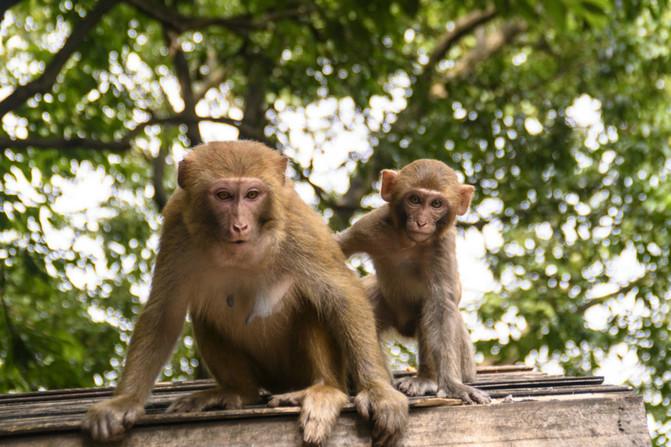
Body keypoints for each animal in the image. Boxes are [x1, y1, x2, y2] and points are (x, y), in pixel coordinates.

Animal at [81, 142, 406, 446]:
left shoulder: (295, 220)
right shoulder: (177, 224)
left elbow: (341, 295)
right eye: (223, 196)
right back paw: (236, 392)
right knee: (204, 313)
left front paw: (379, 392)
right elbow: (164, 313)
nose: (239, 225)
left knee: (312, 303)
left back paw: (325, 390)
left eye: (252, 194)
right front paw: (124, 402)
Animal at [338, 160, 490, 406]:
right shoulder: (371, 225)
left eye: (436, 203)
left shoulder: (442, 245)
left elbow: (441, 308)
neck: (407, 241)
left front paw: (452, 385)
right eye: (415, 200)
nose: (421, 222)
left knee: (431, 311)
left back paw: (425, 379)